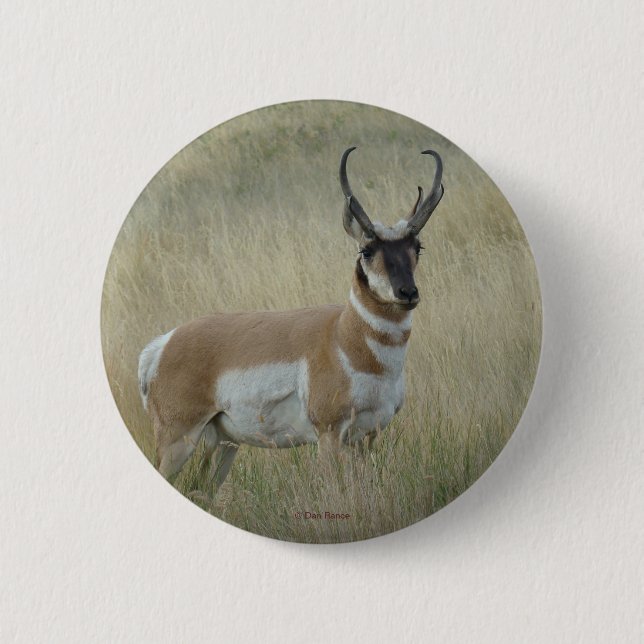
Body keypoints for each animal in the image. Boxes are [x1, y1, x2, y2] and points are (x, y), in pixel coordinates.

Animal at [138, 147, 444, 490]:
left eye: (417, 246)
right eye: (366, 250)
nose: (408, 292)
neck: (343, 336)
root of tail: (163, 344)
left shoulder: (367, 437)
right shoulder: (329, 435)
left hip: (225, 443)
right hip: (178, 440)